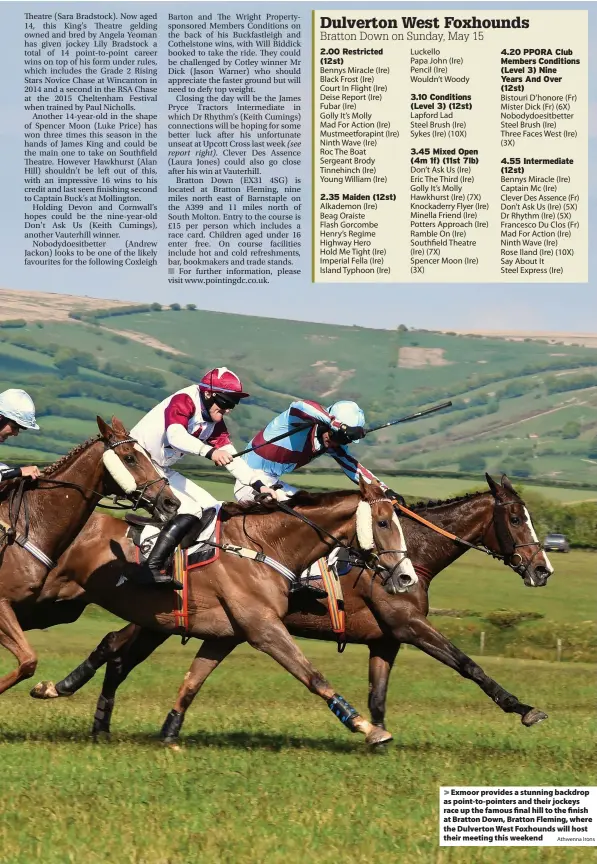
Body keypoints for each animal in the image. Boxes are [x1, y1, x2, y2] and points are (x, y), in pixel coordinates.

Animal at [0, 414, 178, 696]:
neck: (31, 527)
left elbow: (28, 662)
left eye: (148, 455)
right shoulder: (3, 604)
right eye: (130, 458)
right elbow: (29, 661)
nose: (171, 503)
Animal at [31, 472, 556, 744]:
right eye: (515, 518)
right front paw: (523, 708)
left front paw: (376, 733)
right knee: (113, 649)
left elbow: (378, 695)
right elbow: (468, 664)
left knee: (116, 651)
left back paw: (84, 708)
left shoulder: (385, 640)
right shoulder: (407, 625)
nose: (542, 569)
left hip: (158, 620)